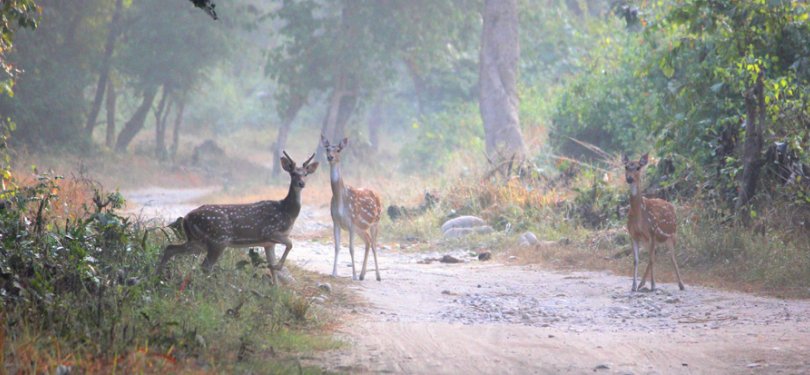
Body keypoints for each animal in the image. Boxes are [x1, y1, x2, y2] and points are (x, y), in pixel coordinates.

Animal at [156, 151, 318, 284]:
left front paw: (276, 290)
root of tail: (186, 218)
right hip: (219, 239)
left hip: (198, 241)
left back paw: (159, 276)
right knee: (205, 266)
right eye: (293, 173)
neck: (286, 212)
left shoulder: (268, 243)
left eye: (306, 174)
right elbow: (290, 244)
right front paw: (278, 266)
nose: (301, 183)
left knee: (170, 248)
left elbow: (273, 269)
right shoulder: (269, 231)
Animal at [318, 137, 382, 280]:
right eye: (327, 148)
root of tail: (378, 195)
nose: (330, 157)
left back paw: (378, 276)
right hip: (361, 228)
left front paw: (353, 275)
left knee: (374, 244)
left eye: (338, 149)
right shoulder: (335, 221)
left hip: (376, 221)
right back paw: (362, 275)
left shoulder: (352, 222)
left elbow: (351, 249)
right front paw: (334, 273)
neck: (341, 199)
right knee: (368, 241)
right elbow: (337, 247)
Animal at [620, 153, 684, 294]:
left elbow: (651, 259)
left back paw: (681, 284)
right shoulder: (633, 235)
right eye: (626, 167)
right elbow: (636, 260)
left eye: (638, 167)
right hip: (653, 240)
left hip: (672, 235)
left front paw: (653, 285)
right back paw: (641, 284)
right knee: (654, 255)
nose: (629, 178)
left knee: (671, 257)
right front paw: (633, 286)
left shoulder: (652, 231)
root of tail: (672, 206)